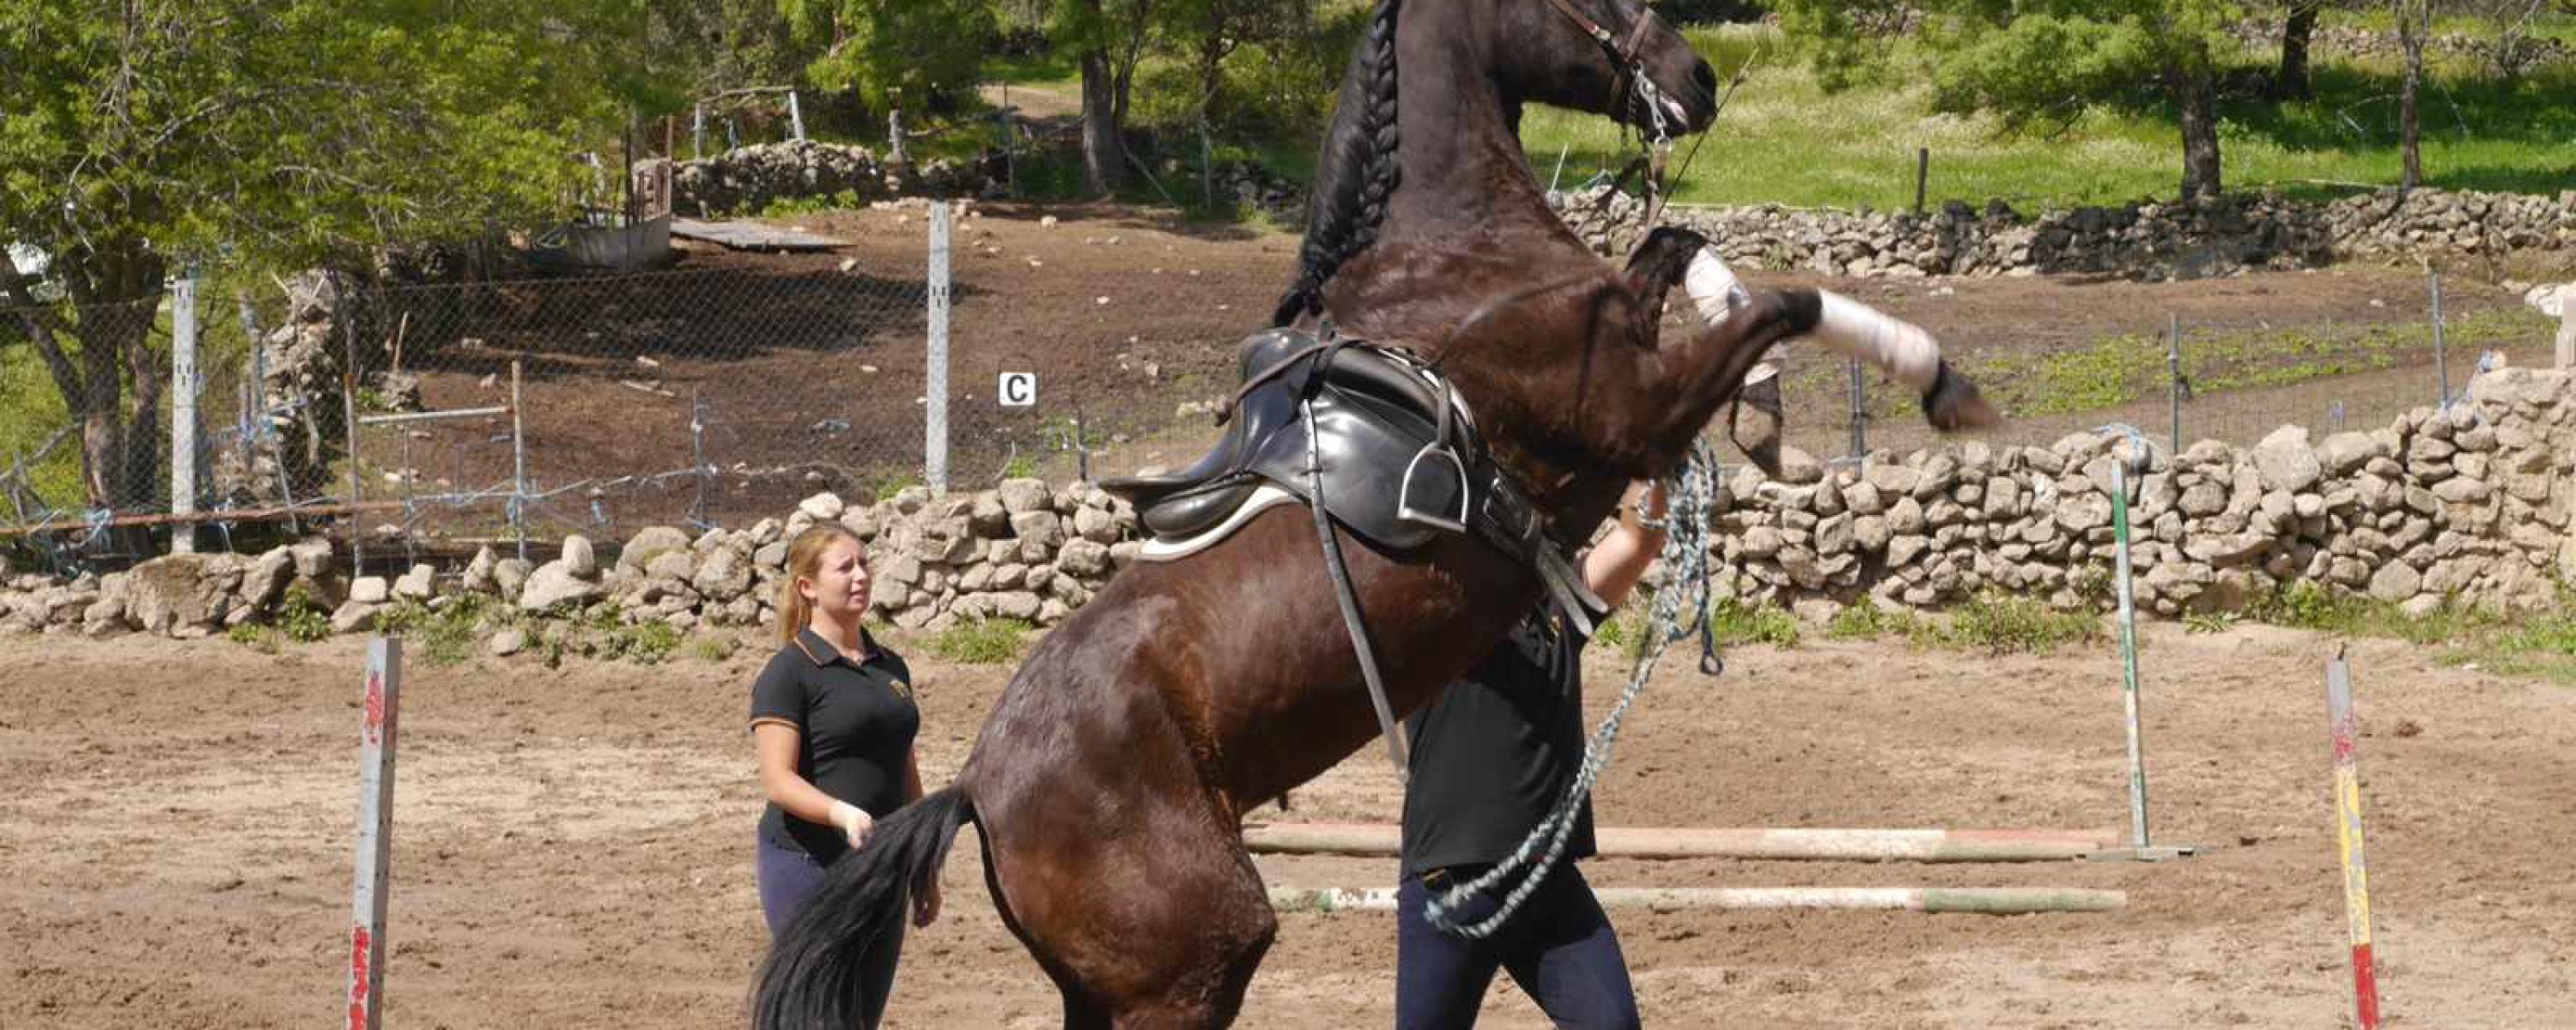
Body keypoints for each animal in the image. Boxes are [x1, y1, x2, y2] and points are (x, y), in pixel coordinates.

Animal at [755, 2, 1990, 1027]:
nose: (1697, 77)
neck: (1453, 262)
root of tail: (975, 790)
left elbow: (1683, 251)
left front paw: (1774, 402)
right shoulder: (1625, 415)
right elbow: (1782, 299)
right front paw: (1922, 385)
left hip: (1107, 988)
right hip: (1191, 962)